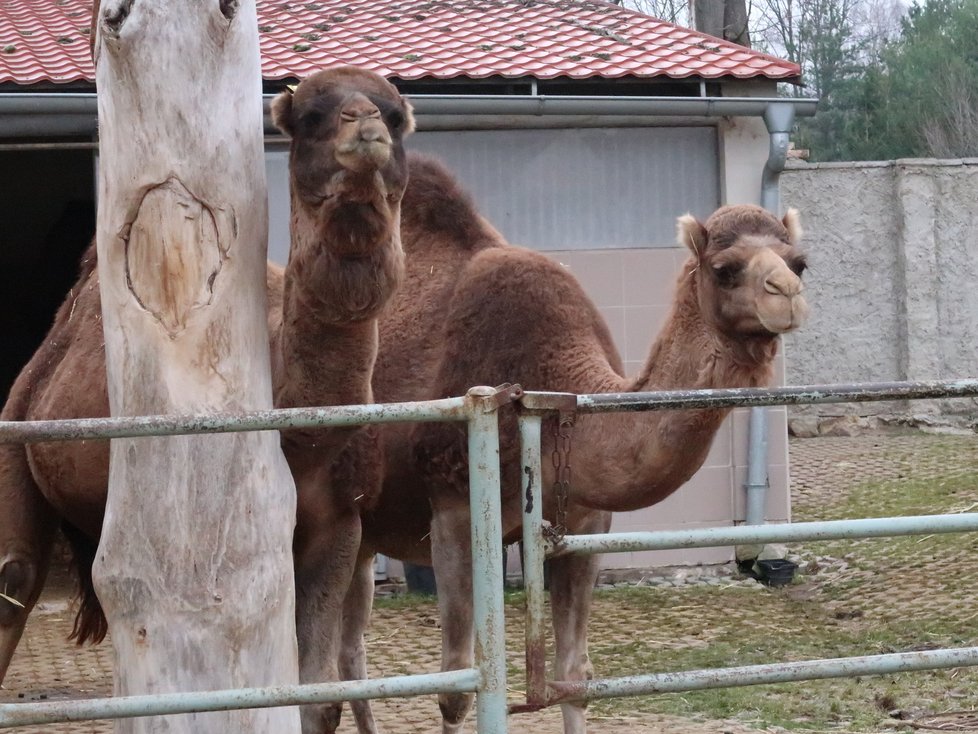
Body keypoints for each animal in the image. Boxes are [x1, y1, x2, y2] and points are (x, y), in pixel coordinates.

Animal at [0, 64, 412, 734]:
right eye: (311, 117)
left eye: (396, 117)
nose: (366, 125)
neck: (301, 432)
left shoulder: (341, 527)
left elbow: (317, 698)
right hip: (16, 430)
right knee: (17, 578)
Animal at [336, 158, 808, 734]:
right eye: (725, 268)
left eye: (800, 262)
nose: (787, 294)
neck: (551, 378)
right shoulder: (454, 510)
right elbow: (456, 688)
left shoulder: (585, 521)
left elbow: (574, 675)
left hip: (363, 530)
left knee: (349, 653)